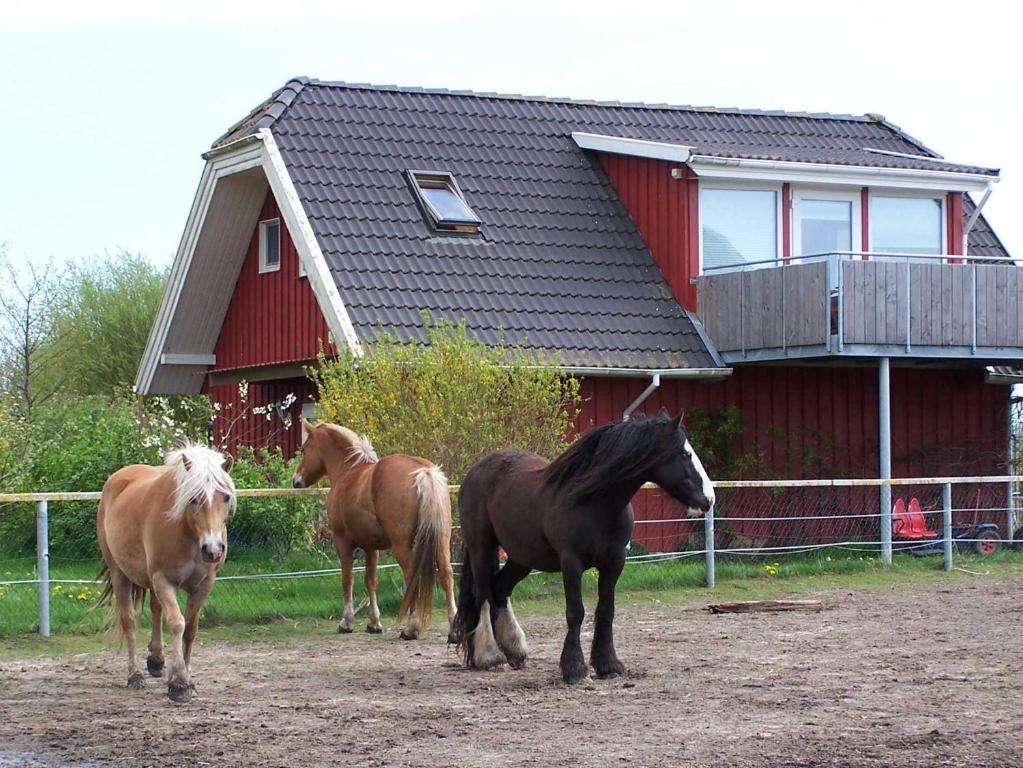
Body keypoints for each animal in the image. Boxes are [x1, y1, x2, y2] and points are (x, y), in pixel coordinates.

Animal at [94, 443, 234, 703]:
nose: (212, 550)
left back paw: (157, 661)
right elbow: (177, 623)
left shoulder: (204, 585)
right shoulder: (164, 581)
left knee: (156, 609)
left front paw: (188, 679)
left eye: (226, 497)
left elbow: (190, 629)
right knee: (129, 621)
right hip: (120, 575)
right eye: (193, 498)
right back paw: (135, 676)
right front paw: (179, 684)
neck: (187, 532)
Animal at [294, 421, 458, 642]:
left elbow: (347, 580)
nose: (296, 480)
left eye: (304, 450)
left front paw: (346, 622)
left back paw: (411, 628)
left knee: (411, 577)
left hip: (401, 546)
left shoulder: (342, 542)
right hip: (441, 542)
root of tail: (423, 472)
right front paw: (374, 623)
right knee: (447, 575)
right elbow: (371, 581)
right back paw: (454, 630)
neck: (348, 471)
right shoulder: (371, 547)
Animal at [456, 411, 712, 683]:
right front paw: (575, 668)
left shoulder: (614, 562)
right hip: (481, 546)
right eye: (684, 454)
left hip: (521, 557)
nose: (708, 499)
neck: (593, 502)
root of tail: (476, 471)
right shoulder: (571, 562)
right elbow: (575, 611)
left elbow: (606, 610)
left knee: (500, 591)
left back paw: (515, 651)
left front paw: (608, 664)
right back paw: (490, 656)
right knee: (483, 594)